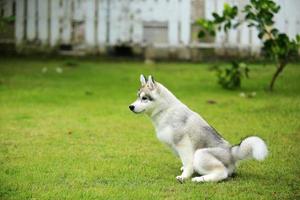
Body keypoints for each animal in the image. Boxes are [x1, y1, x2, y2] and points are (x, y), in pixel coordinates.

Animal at [129, 74, 268, 183]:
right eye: (137, 96)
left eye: (144, 98)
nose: (130, 107)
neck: (165, 110)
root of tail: (232, 152)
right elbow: (186, 163)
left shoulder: (183, 144)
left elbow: (187, 163)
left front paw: (184, 176)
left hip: (200, 154)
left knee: (222, 173)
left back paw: (199, 179)